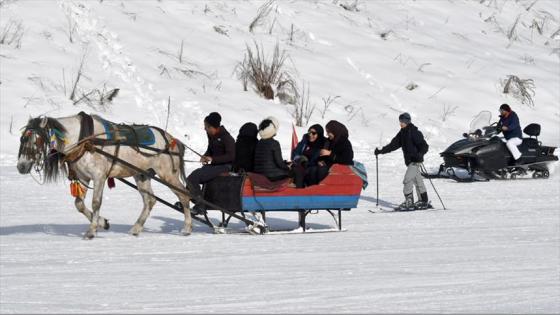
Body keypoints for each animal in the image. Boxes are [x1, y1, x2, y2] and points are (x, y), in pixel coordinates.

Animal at [15, 113, 195, 239]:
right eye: (22, 139)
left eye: (36, 140)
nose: (21, 166)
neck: (83, 139)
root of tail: (172, 139)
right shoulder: (83, 177)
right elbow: (79, 204)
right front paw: (103, 223)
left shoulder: (99, 176)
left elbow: (96, 203)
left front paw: (92, 231)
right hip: (142, 175)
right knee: (149, 200)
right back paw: (136, 228)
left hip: (168, 175)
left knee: (184, 195)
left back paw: (187, 228)